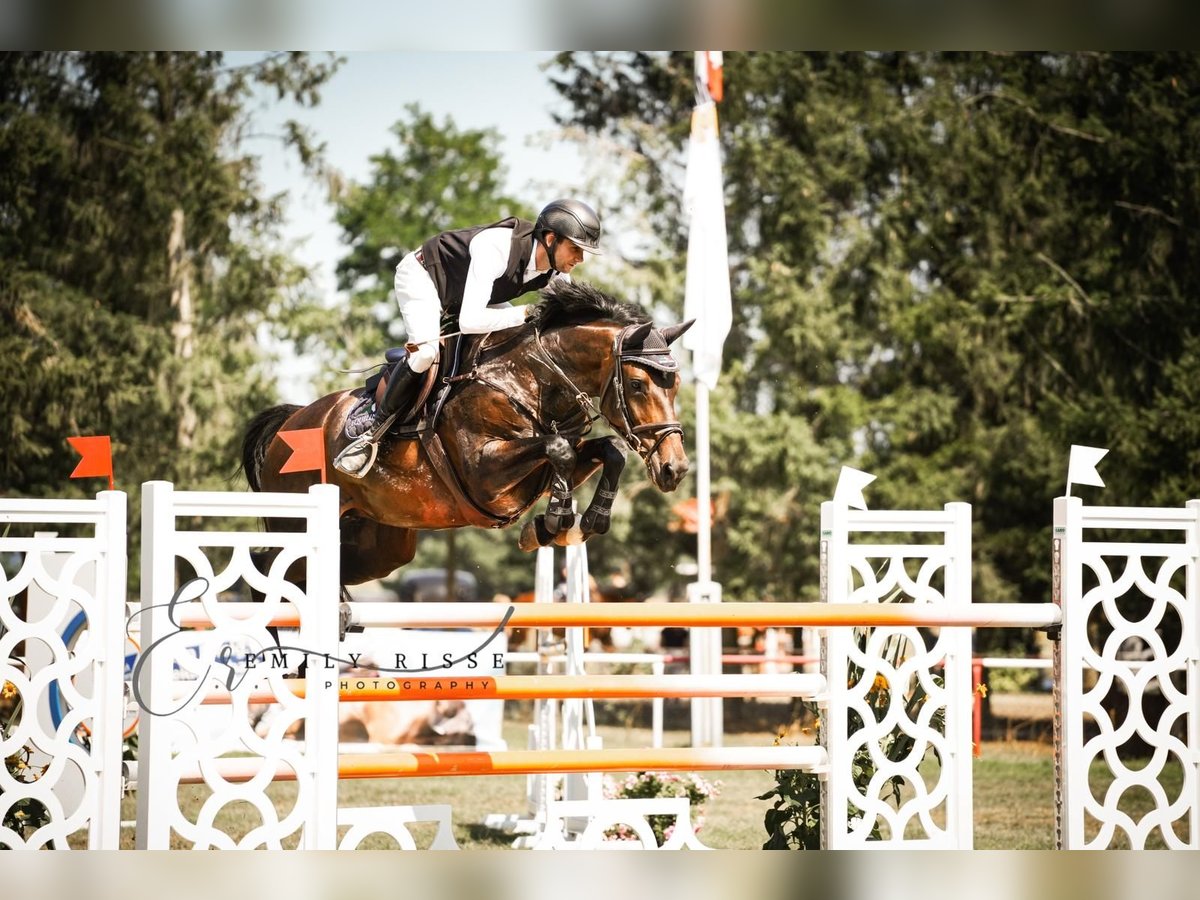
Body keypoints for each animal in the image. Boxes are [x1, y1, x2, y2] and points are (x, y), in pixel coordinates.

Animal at [241, 285, 696, 588]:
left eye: (675, 385)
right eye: (637, 385)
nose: (674, 469)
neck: (526, 380)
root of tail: (288, 425)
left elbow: (607, 449)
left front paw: (580, 522)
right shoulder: (484, 473)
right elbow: (560, 449)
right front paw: (555, 521)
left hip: (382, 542)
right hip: (298, 521)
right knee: (274, 566)